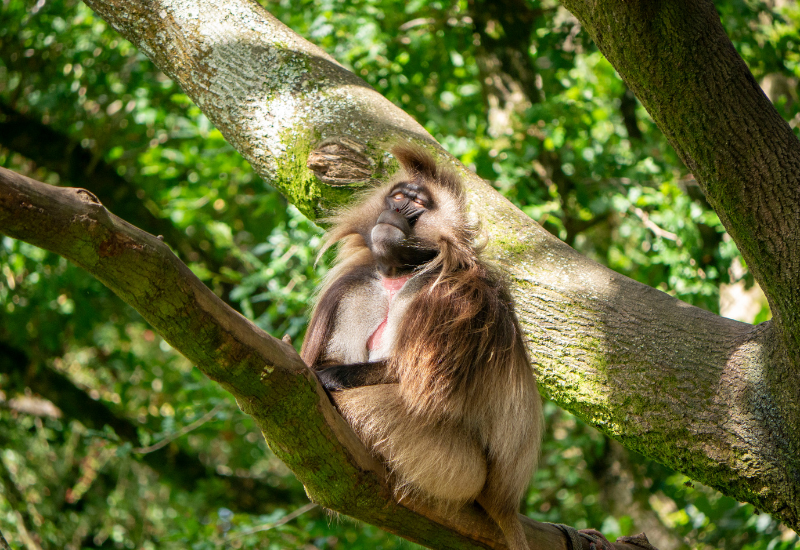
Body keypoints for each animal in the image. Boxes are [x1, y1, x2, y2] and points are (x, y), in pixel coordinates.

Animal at [302, 146, 544, 550]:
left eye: (417, 203)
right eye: (398, 196)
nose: (396, 211)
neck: (400, 274)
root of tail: (505, 501)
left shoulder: (449, 296)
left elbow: (419, 384)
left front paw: (330, 376)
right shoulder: (358, 285)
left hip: (454, 466)